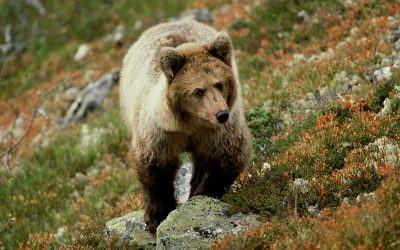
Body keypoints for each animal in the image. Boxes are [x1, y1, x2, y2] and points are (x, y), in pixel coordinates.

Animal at [119, 19, 250, 232]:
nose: (221, 114)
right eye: (198, 91)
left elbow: (228, 158)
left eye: (219, 84)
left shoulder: (217, 133)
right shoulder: (160, 133)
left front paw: (200, 194)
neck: (190, 124)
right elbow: (154, 167)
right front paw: (156, 216)